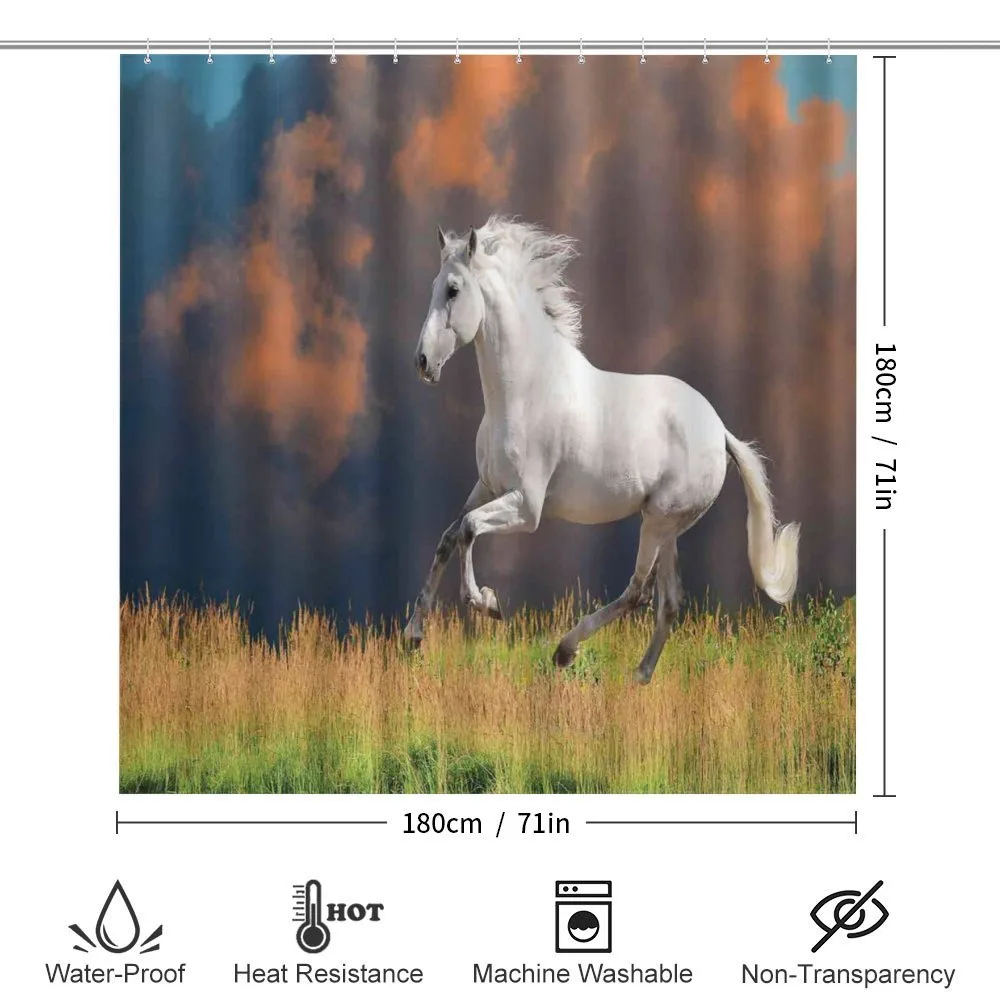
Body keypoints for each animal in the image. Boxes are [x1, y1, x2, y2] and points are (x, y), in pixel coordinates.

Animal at [402, 216, 799, 684]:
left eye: (453, 290)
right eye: (434, 285)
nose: (423, 362)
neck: (524, 391)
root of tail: (720, 432)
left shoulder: (527, 507)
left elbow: (467, 530)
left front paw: (487, 602)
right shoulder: (487, 486)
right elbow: (449, 537)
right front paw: (413, 635)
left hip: (658, 521)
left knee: (637, 592)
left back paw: (566, 651)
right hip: (668, 526)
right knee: (668, 601)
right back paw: (639, 677)